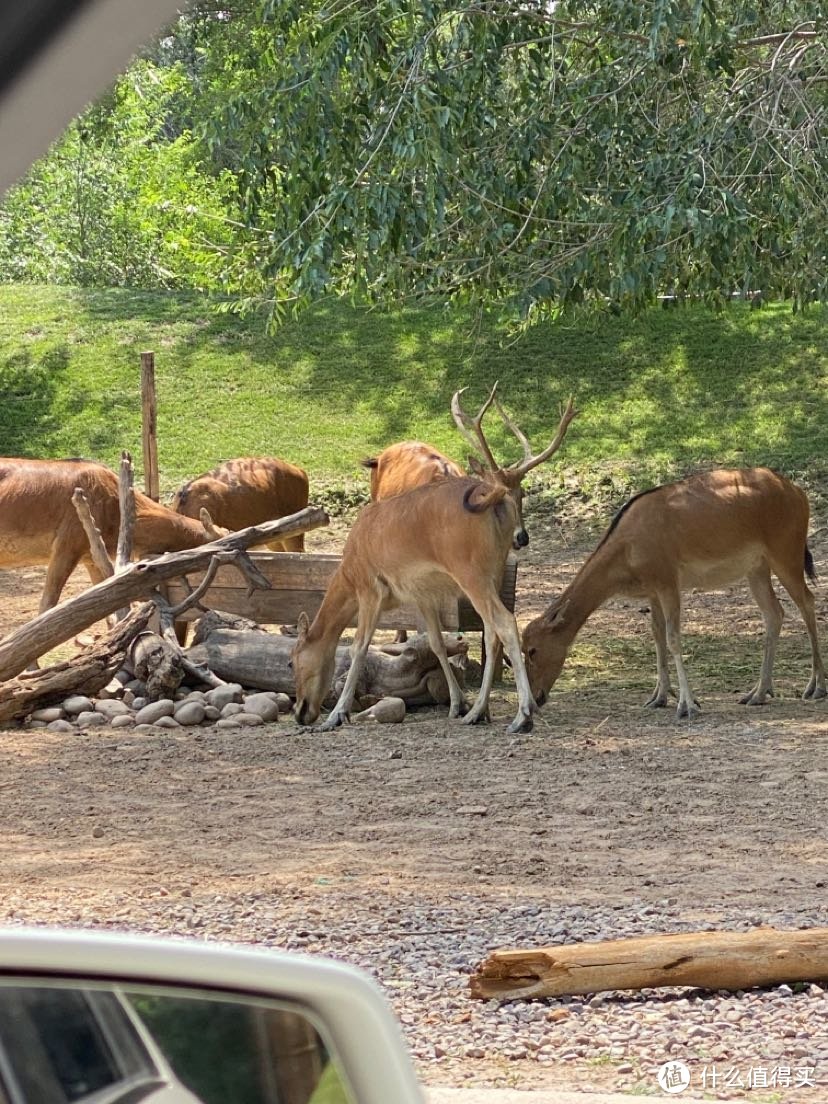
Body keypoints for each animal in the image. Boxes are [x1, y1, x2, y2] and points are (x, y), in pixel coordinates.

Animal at [291, 476, 538, 728]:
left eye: (292, 661)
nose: (300, 712)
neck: (349, 572)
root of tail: (495, 495)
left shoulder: (370, 590)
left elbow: (358, 647)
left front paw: (336, 714)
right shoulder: (422, 596)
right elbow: (436, 644)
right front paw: (457, 704)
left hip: (472, 575)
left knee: (506, 623)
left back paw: (524, 714)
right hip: (494, 574)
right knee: (491, 633)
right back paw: (478, 711)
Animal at [521, 470, 825, 719]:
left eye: (533, 650)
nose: (536, 698)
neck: (627, 553)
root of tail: (799, 494)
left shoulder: (668, 580)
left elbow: (673, 637)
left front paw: (688, 705)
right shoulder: (653, 591)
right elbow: (657, 636)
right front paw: (658, 697)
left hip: (786, 552)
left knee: (808, 602)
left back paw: (816, 687)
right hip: (757, 567)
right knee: (775, 613)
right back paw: (758, 693)